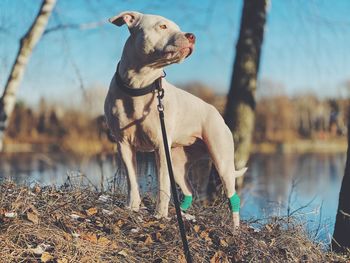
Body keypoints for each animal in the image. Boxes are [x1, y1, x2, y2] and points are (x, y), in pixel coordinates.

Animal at [104, 10, 246, 229]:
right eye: (162, 26)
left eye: (178, 27)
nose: (192, 36)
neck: (139, 86)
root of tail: (216, 112)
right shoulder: (124, 145)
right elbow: (131, 180)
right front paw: (132, 207)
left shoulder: (161, 148)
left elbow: (163, 185)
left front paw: (159, 215)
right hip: (178, 163)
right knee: (188, 192)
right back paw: (182, 214)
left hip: (221, 161)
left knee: (233, 197)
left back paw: (235, 228)